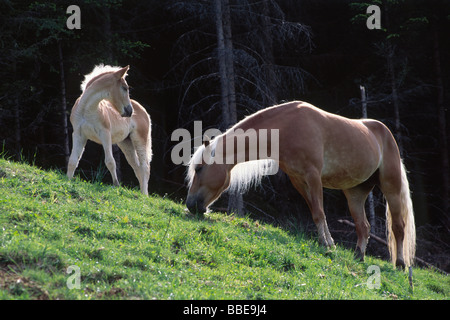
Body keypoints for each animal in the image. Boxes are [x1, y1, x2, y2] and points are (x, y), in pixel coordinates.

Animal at [66, 64, 152, 195]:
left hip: (140, 139)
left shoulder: (105, 134)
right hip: (126, 143)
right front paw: (68, 181)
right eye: (125, 88)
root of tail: (143, 110)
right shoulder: (78, 134)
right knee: (137, 168)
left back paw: (145, 196)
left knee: (145, 167)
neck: (87, 109)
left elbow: (110, 161)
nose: (130, 111)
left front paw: (116, 185)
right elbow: (73, 160)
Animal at [185, 100, 414, 268]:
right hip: (355, 193)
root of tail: (385, 132)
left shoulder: (313, 176)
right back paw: (359, 256)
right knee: (363, 226)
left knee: (398, 227)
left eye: (199, 169)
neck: (288, 127)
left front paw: (327, 244)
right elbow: (315, 212)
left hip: (391, 187)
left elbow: (319, 213)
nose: (190, 205)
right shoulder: (299, 181)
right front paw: (328, 243)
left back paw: (400, 264)